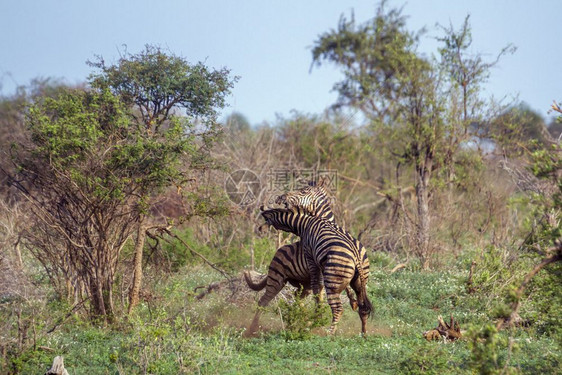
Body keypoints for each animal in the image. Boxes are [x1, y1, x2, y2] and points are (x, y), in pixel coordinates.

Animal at [260, 206, 372, 334]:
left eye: (265, 220)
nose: (259, 229)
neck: (304, 224)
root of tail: (356, 256)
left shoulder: (310, 256)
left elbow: (315, 285)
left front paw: (317, 317)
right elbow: (319, 287)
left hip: (333, 281)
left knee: (338, 308)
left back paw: (330, 333)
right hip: (360, 281)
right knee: (362, 307)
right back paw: (363, 333)